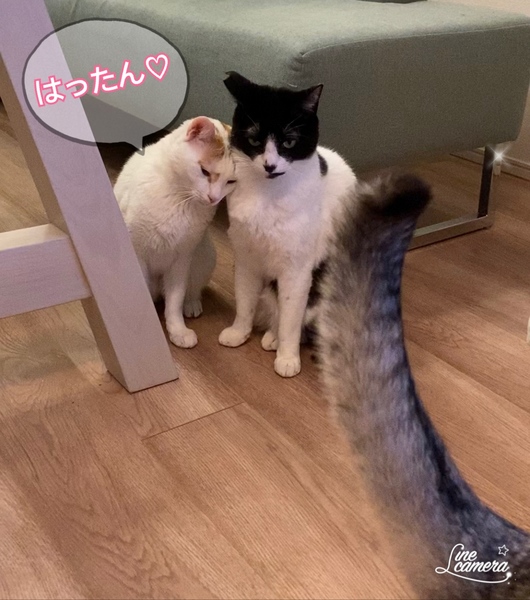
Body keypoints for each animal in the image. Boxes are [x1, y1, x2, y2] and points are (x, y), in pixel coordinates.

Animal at [113, 116, 236, 349]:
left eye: (231, 181)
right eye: (204, 172)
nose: (213, 198)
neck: (180, 198)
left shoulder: (182, 259)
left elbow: (175, 301)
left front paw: (178, 330)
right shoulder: (138, 254)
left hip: (205, 256)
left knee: (190, 291)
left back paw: (192, 304)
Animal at [218, 72, 357, 378]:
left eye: (289, 143)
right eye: (254, 139)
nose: (270, 165)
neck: (266, 195)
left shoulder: (297, 270)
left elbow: (292, 319)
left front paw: (288, 357)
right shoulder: (246, 258)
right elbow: (244, 300)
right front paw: (239, 332)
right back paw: (270, 335)